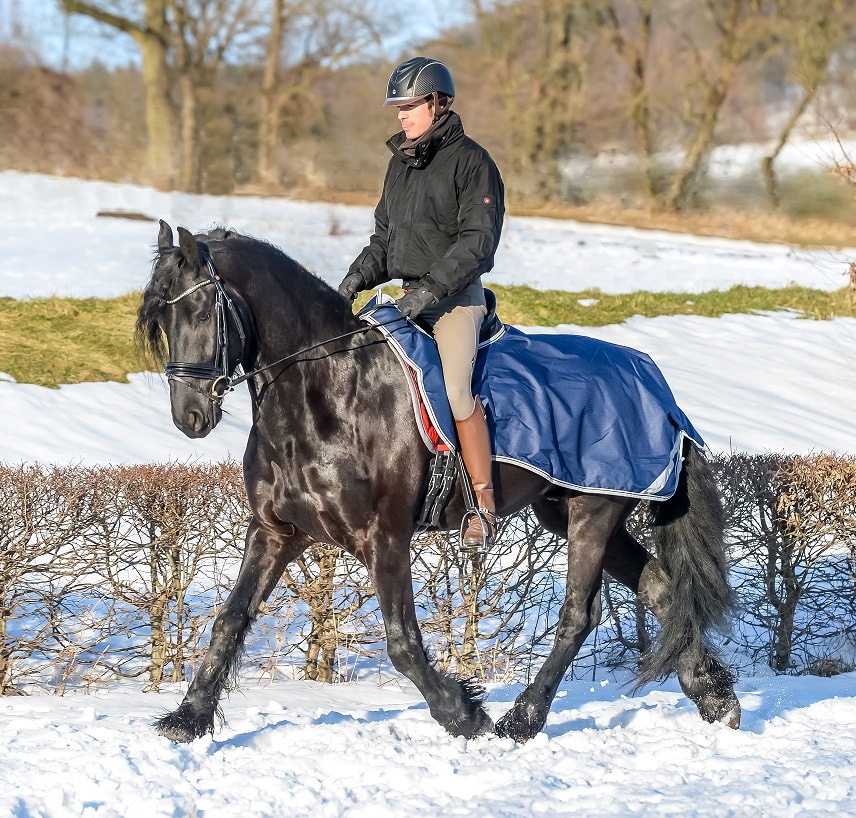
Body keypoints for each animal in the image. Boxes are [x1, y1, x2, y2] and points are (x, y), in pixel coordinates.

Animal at [137, 220, 740, 744]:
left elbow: (403, 643)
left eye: (200, 309)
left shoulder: (384, 538)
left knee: (579, 614)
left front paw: (462, 713)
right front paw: (187, 718)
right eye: (162, 321)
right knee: (660, 586)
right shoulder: (275, 531)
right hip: (570, 511)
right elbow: (230, 619)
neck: (324, 390)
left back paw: (522, 720)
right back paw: (715, 698)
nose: (189, 416)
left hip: (594, 511)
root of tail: (656, 386)